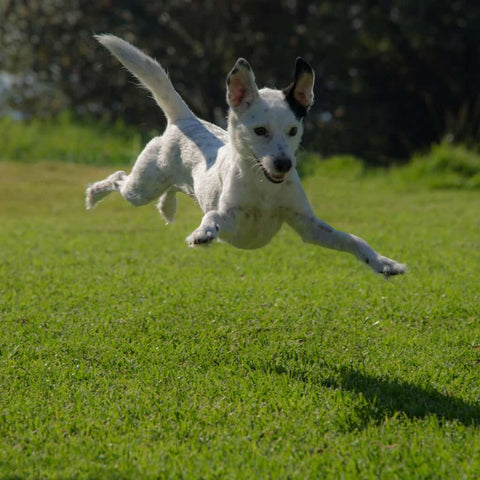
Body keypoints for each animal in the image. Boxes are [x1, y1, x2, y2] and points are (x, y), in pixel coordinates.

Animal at [86, 35, 404, 276]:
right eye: (260, 130)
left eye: (293, 130)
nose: (284, 164)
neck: (264, 189)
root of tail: (185, 119)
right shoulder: (231, 220)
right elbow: (213, 216)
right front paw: (202, 233)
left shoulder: (308, 226)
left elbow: (353, 240)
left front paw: (384, 263)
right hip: (141, 187)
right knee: (119, 178)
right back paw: (94, 194)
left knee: (170, 189)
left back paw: (167, 207)